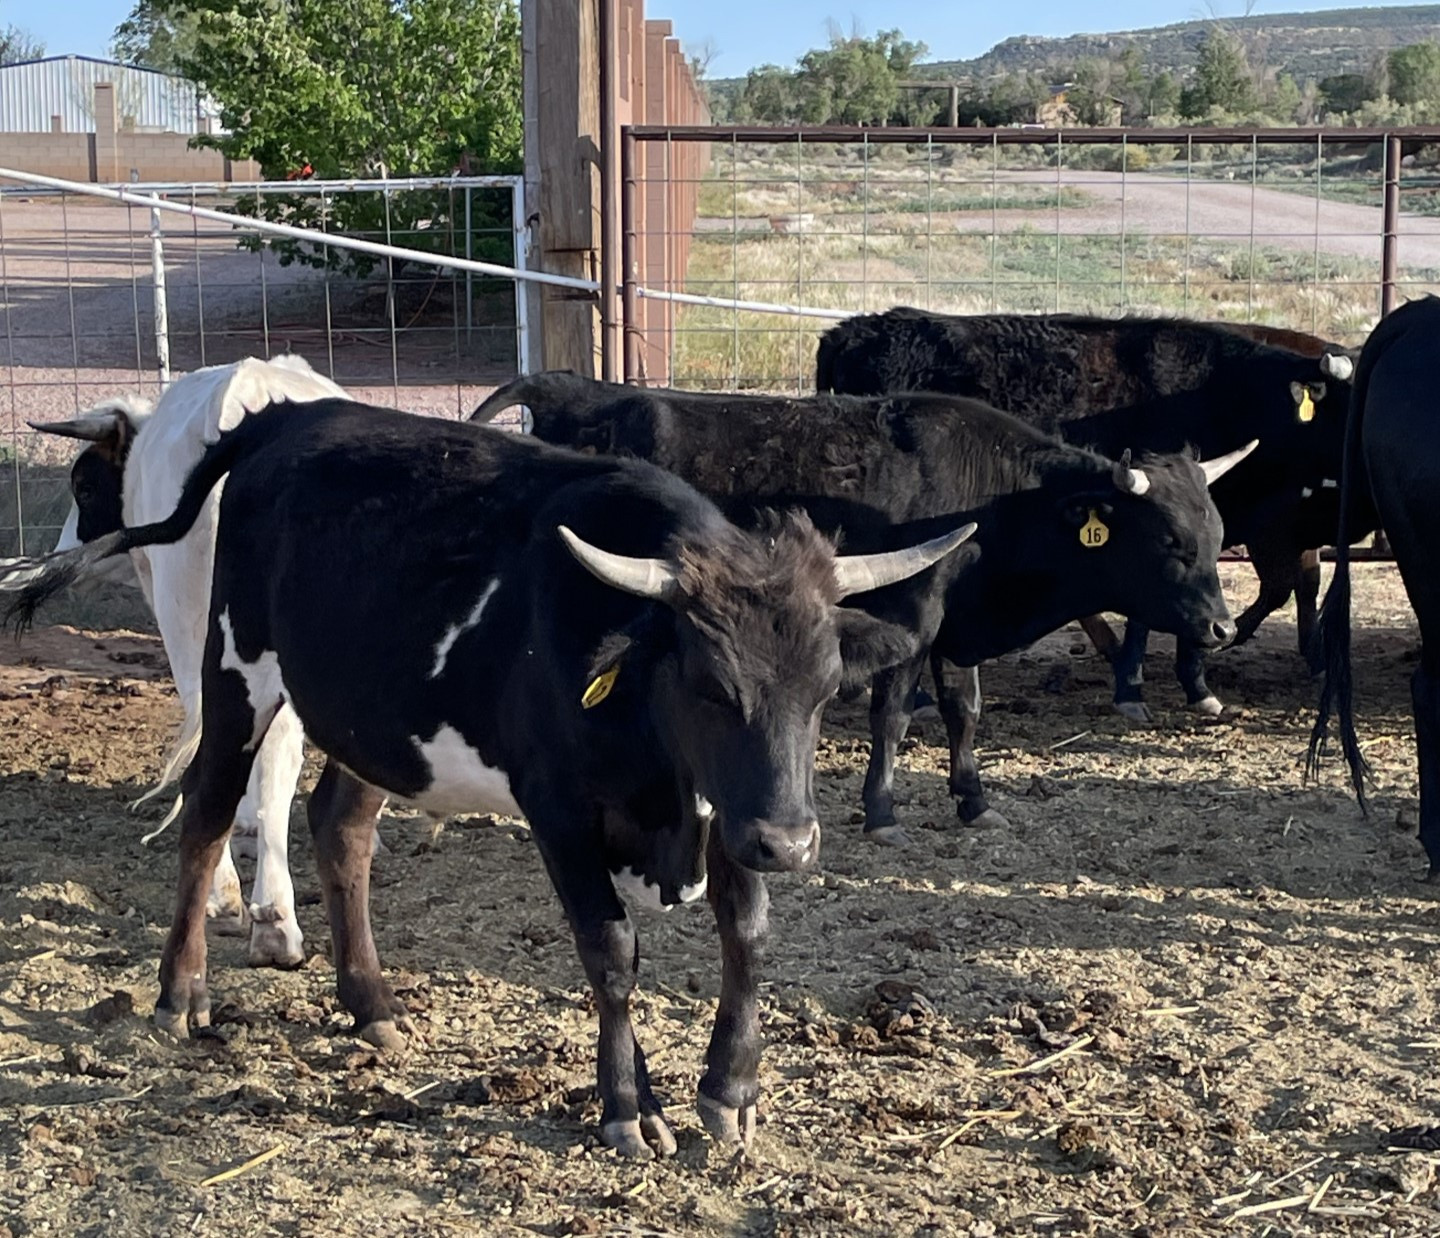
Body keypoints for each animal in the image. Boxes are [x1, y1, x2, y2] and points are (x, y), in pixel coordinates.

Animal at [5, 400, 973, 1163]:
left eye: (826, 687)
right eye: (709, 685)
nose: (792, 843)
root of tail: (288, 418)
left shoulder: (727, 808)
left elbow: (748, 935)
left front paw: (727, 1091)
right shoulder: (562, 812)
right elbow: (611, 951)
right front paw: (629, 1109)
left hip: (374, 723)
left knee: (339, 827)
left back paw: (371, 1003)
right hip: (237, 672)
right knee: (206, 817)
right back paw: (181, 996)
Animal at [469, 371, 1249, 846]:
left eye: (1216, 533)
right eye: (1171, 540)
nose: (1221, 626)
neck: (994, 498)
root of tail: (578, 391)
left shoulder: (954, 633)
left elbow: (965, 712)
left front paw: (974, 800)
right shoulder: (908, 618)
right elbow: (892, 719)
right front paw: (882, 812)